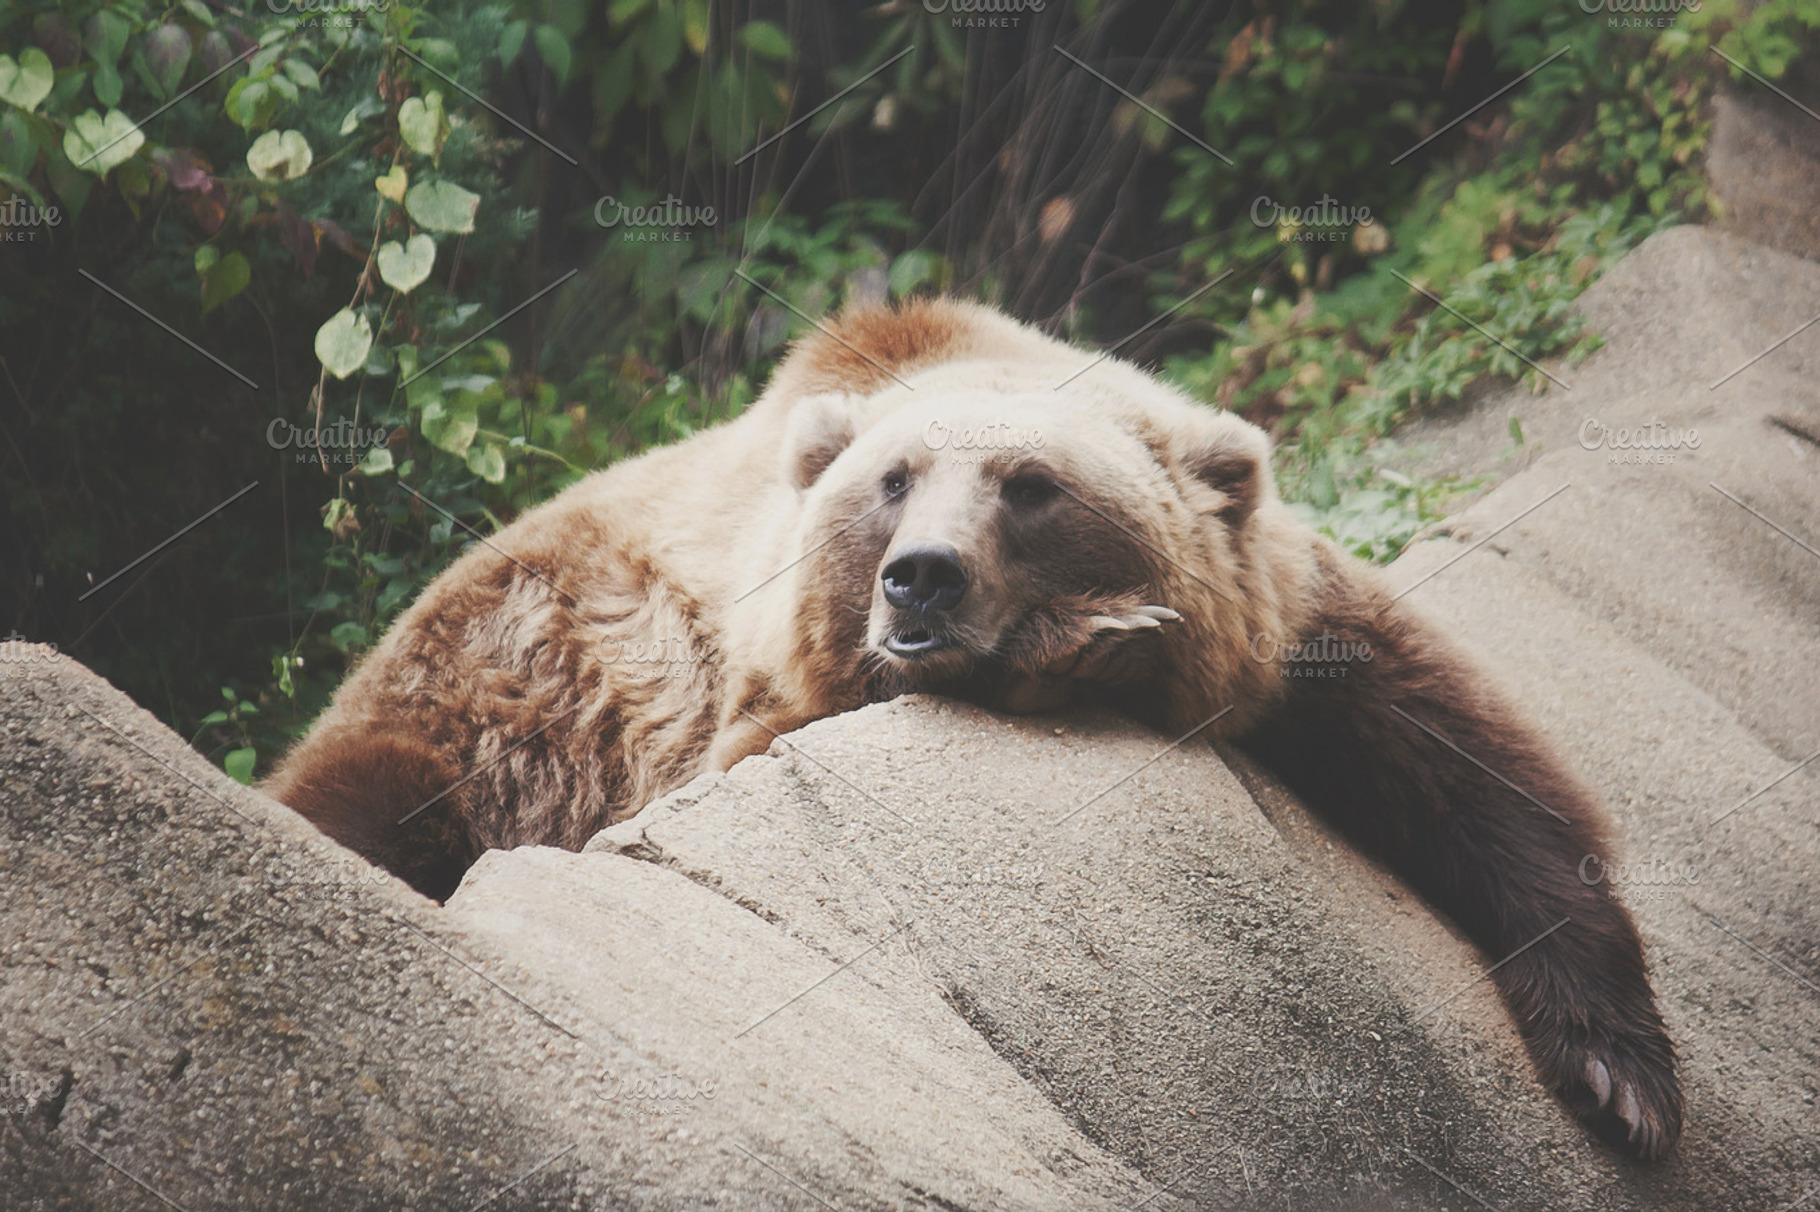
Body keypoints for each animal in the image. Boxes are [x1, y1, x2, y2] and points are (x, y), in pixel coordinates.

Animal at [264, 298, 1681, 1160]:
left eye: (1031, 486)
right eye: (891, 482)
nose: (921, 581)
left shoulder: (1294, 628)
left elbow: (1470, 768)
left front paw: (1621, 1078)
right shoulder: (741, 680)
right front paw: (1093, 637)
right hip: (493, 692)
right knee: (374, 789)